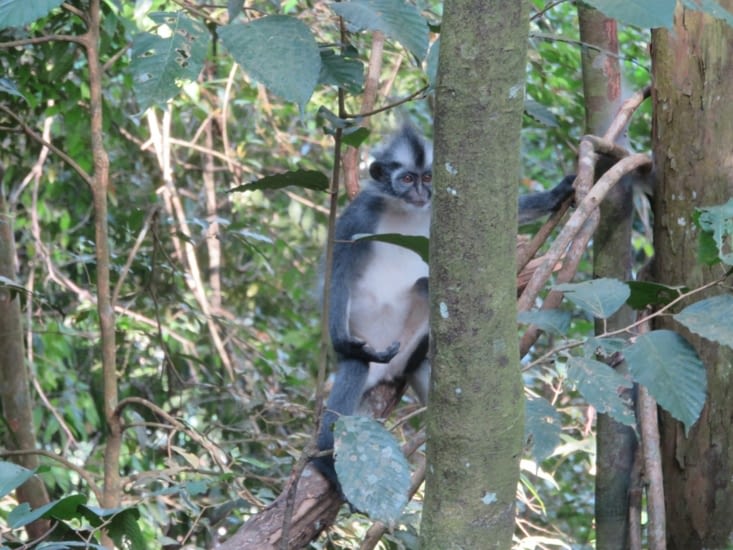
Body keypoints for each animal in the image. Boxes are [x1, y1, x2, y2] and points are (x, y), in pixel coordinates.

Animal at [312, 124, 576, 489]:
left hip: (410, 351)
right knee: (356, 366)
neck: (406, 211)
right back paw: (324, 458)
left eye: (427, 176)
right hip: (375, 358)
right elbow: (337, 270)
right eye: (407, 178)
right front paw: (341, 341)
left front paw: (556, 194)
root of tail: (390, 371)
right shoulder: (358, 216)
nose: (422, 192)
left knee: (424, 300)